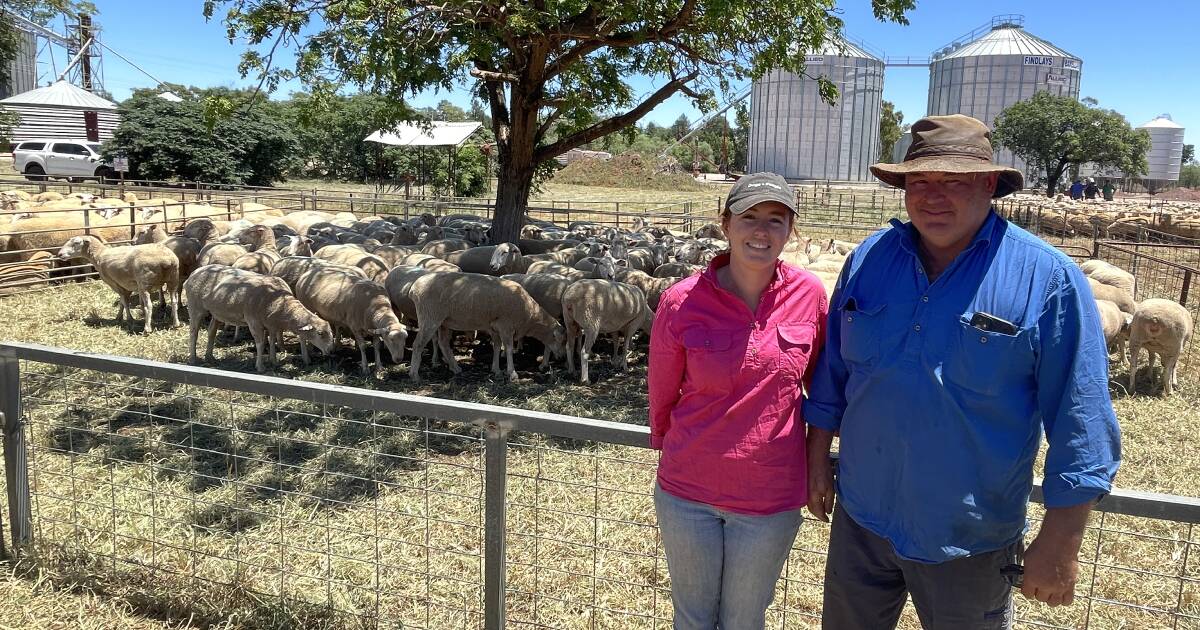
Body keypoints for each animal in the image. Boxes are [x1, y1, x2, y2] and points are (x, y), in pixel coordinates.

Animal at [187, 264, 338, 372]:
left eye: (330, 332)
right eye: (320, 333)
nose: (331, 351)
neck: (281, 304)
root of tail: (195, 272)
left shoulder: (271, 324)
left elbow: (271, 341)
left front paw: (273, 361)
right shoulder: (253, 321)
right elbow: (260, 343)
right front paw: (260, 367)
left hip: (216, 312)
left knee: (211, 331)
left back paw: (210, 356)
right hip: (195, 307)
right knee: (193, 332)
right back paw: (193, 358)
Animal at [408, 271, 566, 384]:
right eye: (561, 341)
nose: (561, 358)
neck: (530, 315)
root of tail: (414, 288)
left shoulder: (495, 327)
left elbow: (496, 347)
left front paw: (496, 370)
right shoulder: (506, 325)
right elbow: (508, 349)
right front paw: (512, 373)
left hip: (444, 321)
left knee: (443, 343)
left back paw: (455, 368)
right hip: (430, 316)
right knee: (418, 344)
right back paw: (414, 375)